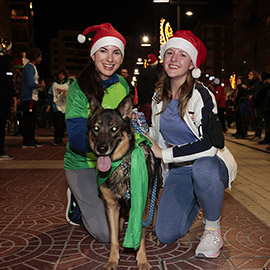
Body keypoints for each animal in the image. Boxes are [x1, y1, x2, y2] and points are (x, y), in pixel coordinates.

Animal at [87, 94, 160, 268]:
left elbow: (140, 236)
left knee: (154, 214)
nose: (101, 149)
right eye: (96, 128)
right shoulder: (111, 206)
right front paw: (113, 259)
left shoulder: (141, 204)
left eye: (114, 129)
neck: (121, 166)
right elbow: (113, 238)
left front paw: (142, 261)